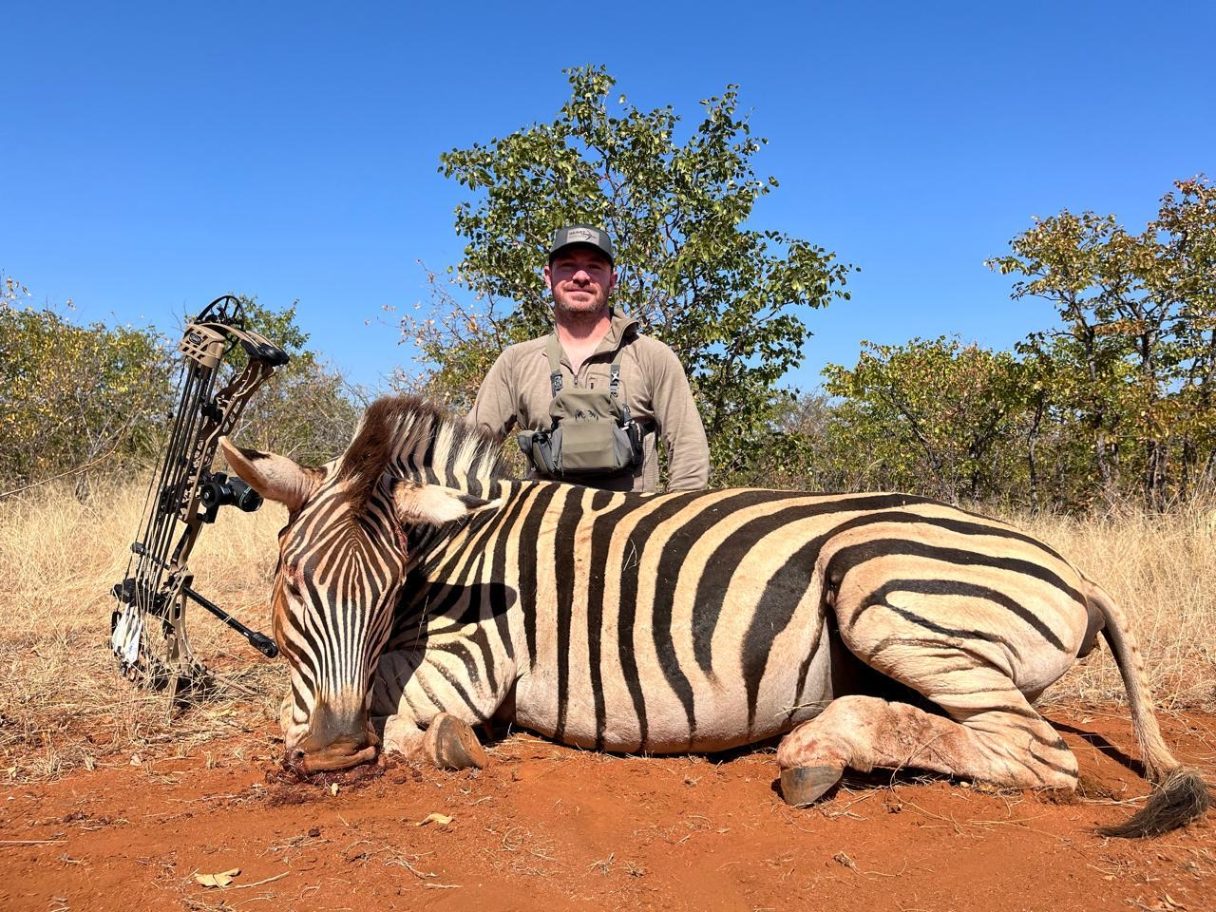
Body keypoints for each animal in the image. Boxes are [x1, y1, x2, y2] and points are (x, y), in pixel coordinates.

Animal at [220, 395, 1209, 837]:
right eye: (289, 581)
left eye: (389, 590)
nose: (334, 755)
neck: (453, 562)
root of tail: (1076, 572)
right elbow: (310, 706)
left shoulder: (473, 656)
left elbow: (388, 717)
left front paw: (441, 743)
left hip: (876, 584)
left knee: (1043, 756)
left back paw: (816, 750)